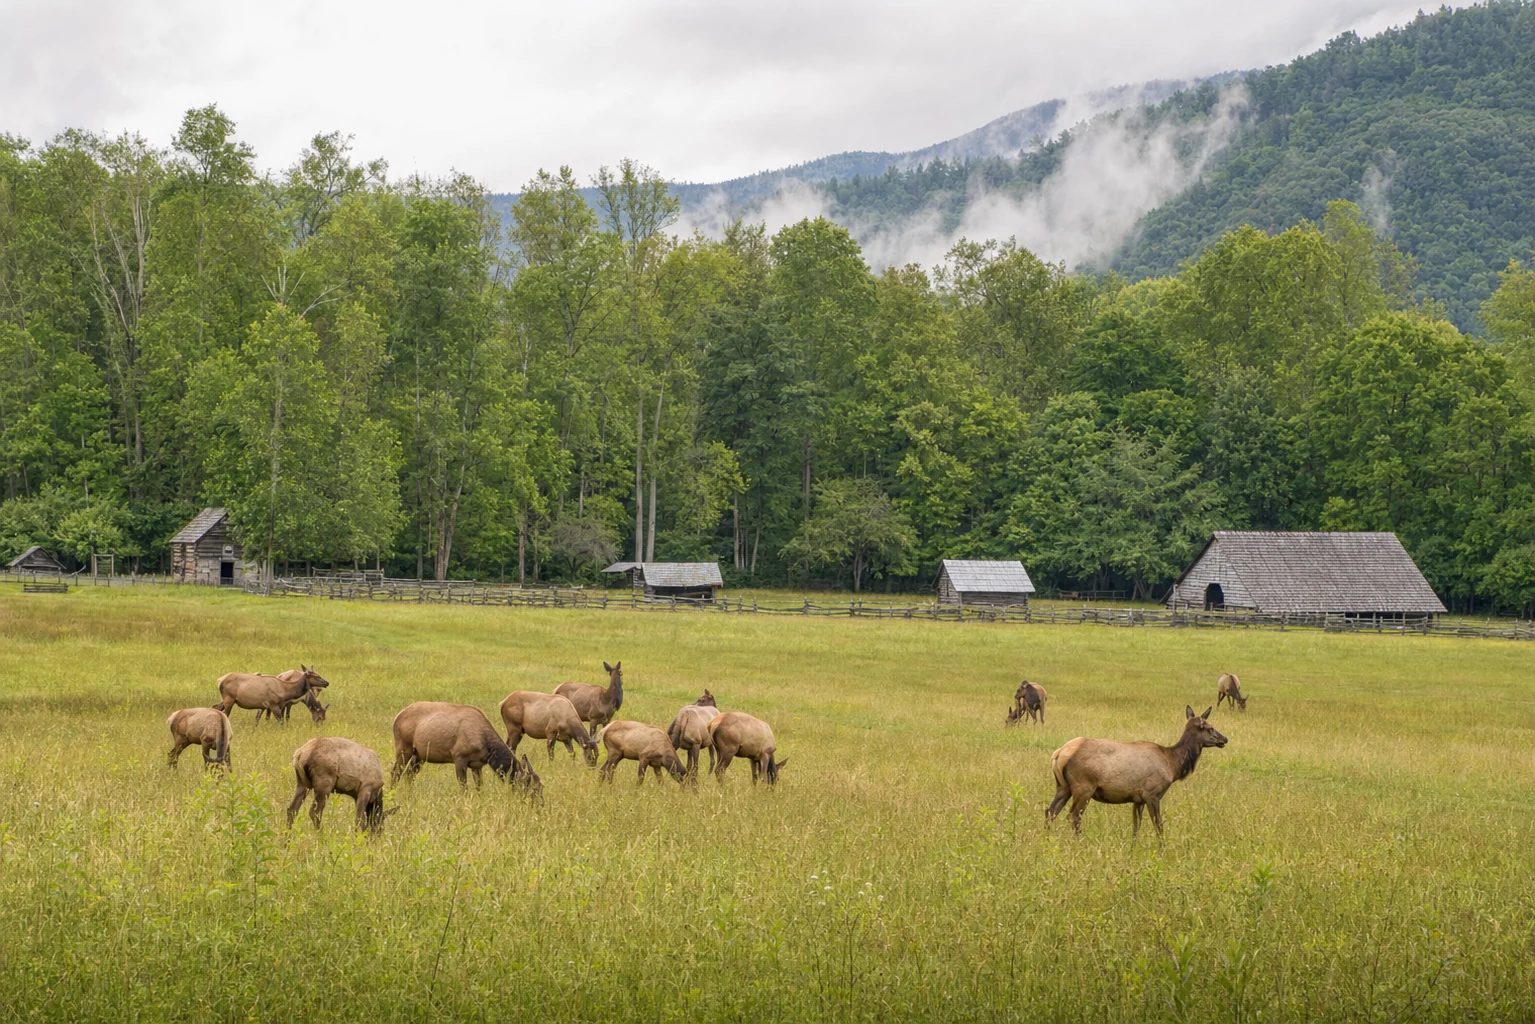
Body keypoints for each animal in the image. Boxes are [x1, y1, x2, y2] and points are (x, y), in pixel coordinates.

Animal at [1046, 705, 1227, 838]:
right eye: (1210, 728)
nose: (1224, 739)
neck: (1172, 764)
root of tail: (1059, 754)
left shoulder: (1137, 799)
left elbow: (1136, 827)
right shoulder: (1152, 794)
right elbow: (1158, 826)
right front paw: (1162, 850)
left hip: (1063, 787)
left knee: (1050, 811)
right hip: (1084, 787)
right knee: (1073, 816)